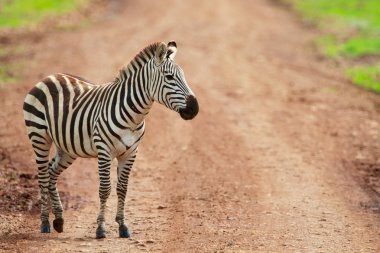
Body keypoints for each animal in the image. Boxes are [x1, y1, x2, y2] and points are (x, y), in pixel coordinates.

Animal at [22, 40, 199, 238]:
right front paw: (100, 228)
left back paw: (59, 220)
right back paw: (45, 222)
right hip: (39, 136)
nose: (194, 108)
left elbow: (122, 189)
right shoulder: (104, 151)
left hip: (67, 147)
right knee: (43, 176)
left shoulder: (131, 153)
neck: (133, 117)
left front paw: (123, 226)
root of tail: (49, 77)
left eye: (183, 76)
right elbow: (105, 189)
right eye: (169, 77)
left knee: (52, 172)